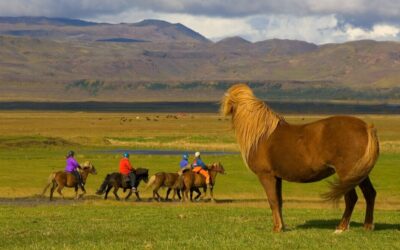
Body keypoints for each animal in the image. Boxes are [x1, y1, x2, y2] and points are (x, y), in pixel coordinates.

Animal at [220, 83, 380, 232]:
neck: (261, 135)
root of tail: (366, 127)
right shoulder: (277, 177)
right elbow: (279, 201)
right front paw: (282, 226)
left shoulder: (266, 175)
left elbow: (272, 201)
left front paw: (277, 228)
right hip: (359, 173)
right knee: (370, 194)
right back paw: (367, 226)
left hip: (347, 173)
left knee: (351, 198)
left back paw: (341, 228)